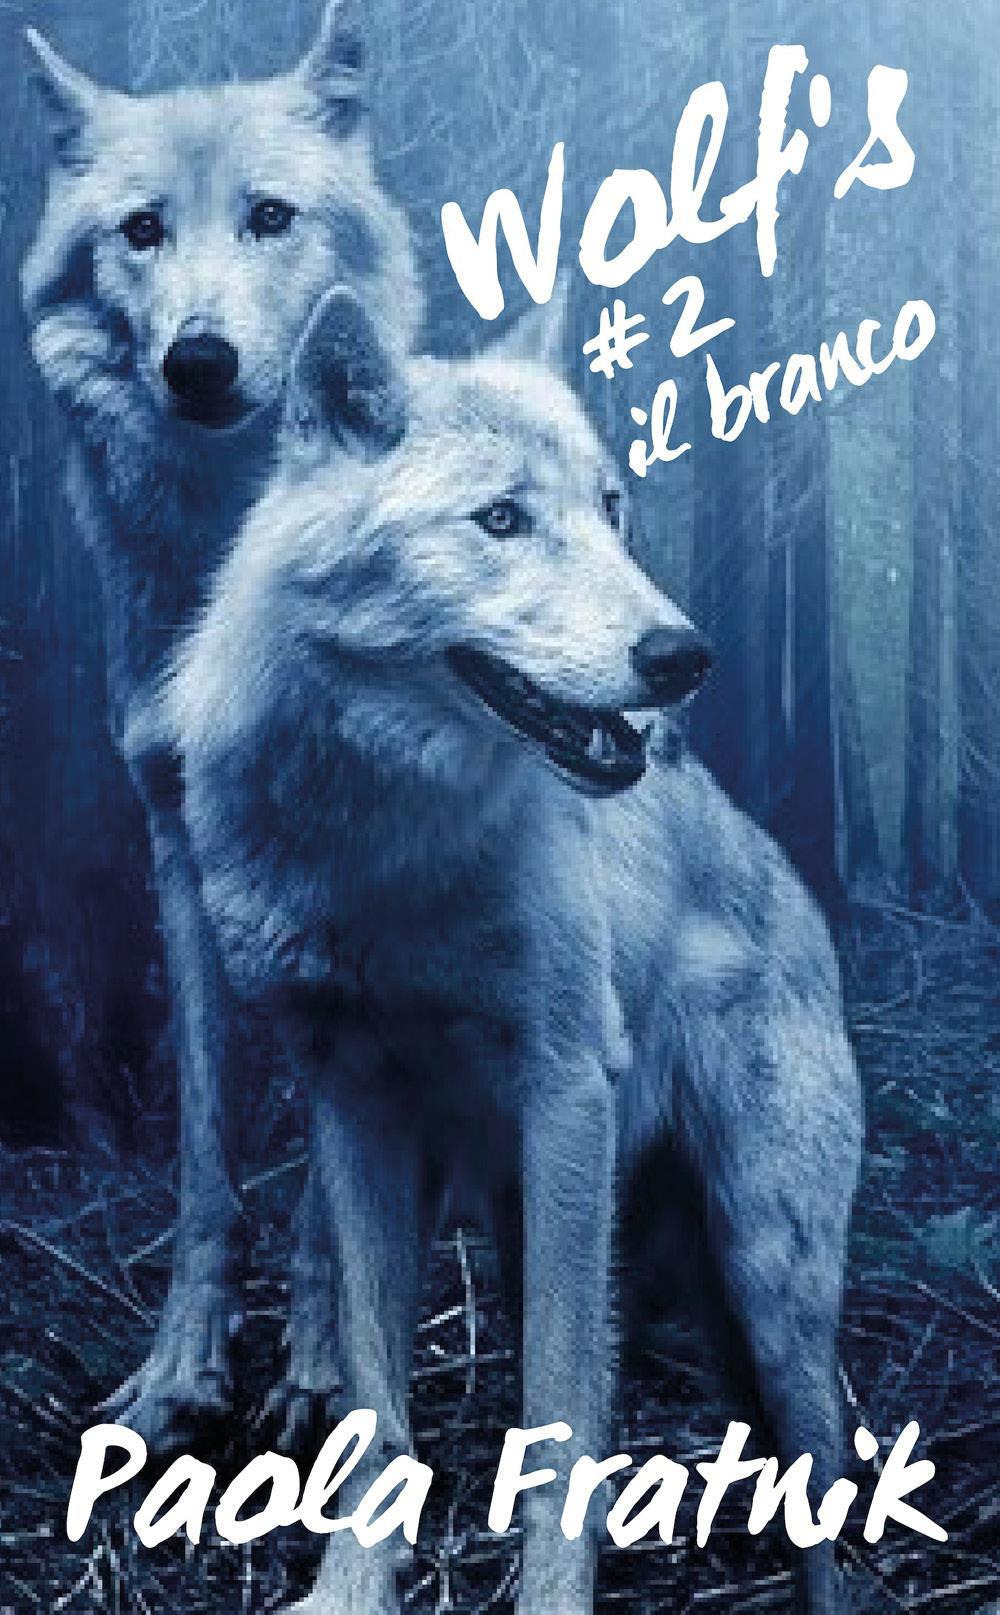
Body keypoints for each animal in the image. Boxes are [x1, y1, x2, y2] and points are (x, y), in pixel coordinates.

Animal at [22, 2, 421, 1447]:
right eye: (142, 228)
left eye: (268, 216)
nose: (198, 360)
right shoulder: (178, 849)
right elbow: (207, 1155)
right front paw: (180, 1372)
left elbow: (329, 1185)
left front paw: (320, 1370)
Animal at [169, 288, 862, 1615]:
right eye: (500, 519)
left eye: (611, 507)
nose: (682, 656)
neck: (381, 849)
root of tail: (790, 880)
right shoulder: (351, 1103)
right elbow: (374, 1401)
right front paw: (350, 1588)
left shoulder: (565, 1091)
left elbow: (560, 1417)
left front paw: (549, 1596)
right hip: (530, 1220)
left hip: (767, 1268)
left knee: (831, 1480)